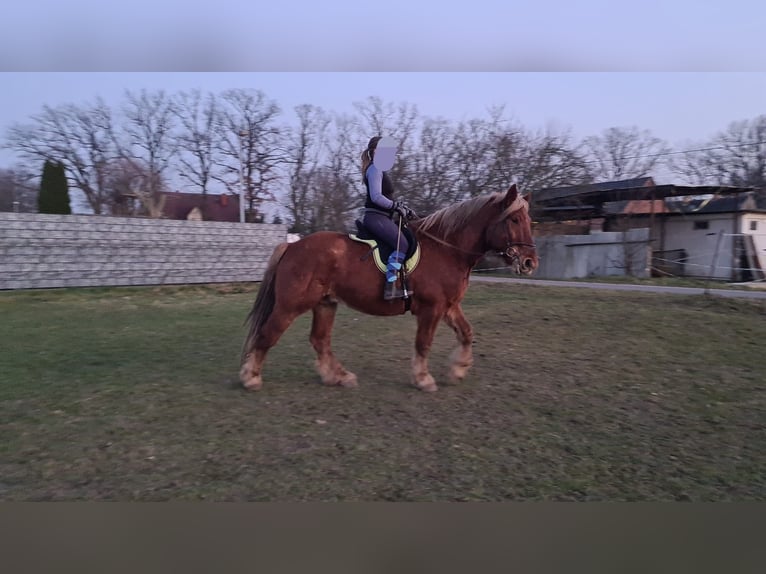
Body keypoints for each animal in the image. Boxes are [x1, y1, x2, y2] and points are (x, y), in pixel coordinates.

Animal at [239, 183, 538, 393]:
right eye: (514, 220)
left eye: (528, 221)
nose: (530, 262)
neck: (447, 249)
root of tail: (292, 246)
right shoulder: (432, 308)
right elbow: (423, 343)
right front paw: (423, 379)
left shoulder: (449, 306)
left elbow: (466, 333)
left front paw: (458, 370)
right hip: (291, 305)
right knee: (268, 334)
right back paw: (251, 377)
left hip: (325, 303)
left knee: (319, 340)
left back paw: (338, 376)